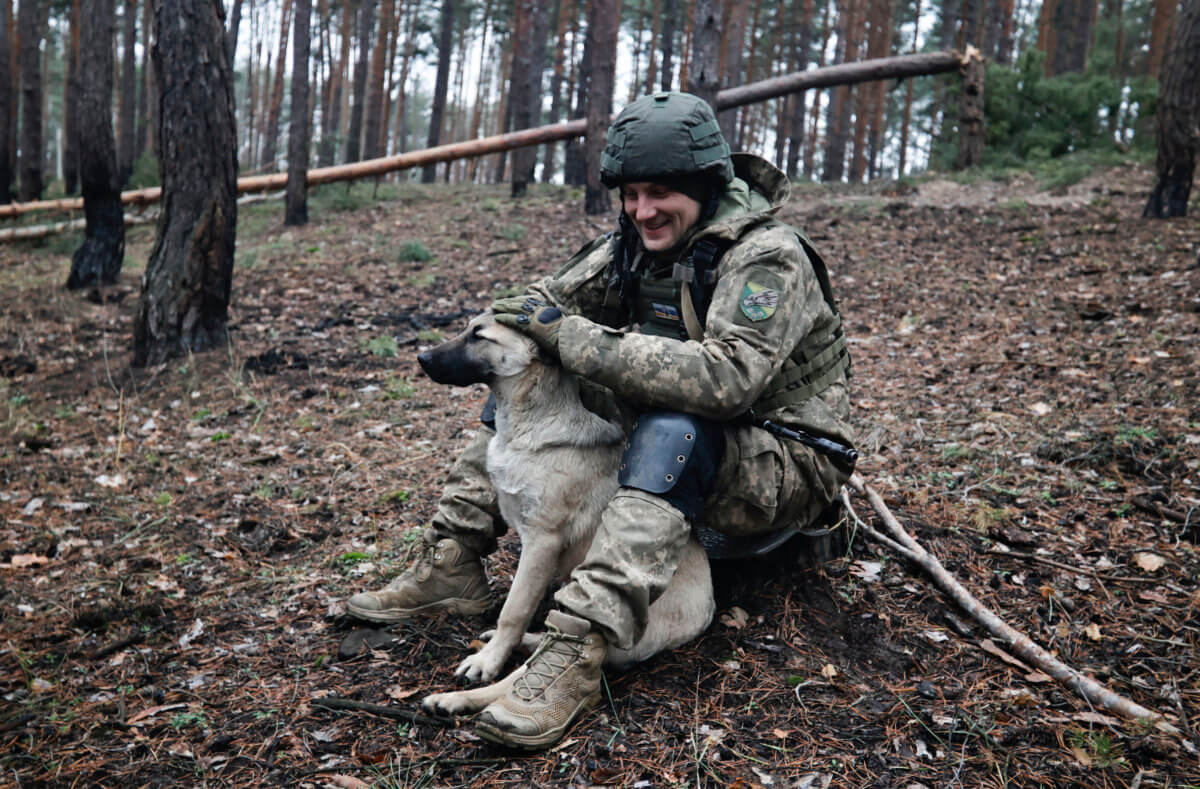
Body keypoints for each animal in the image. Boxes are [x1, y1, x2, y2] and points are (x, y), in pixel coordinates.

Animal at [412, 309, 710, 714]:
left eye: (479, 336)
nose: (422, 358)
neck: (528, 425)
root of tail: (707, 612)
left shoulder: (542, 542)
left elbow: (513, 610)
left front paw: (489, 660)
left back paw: (459, 698)